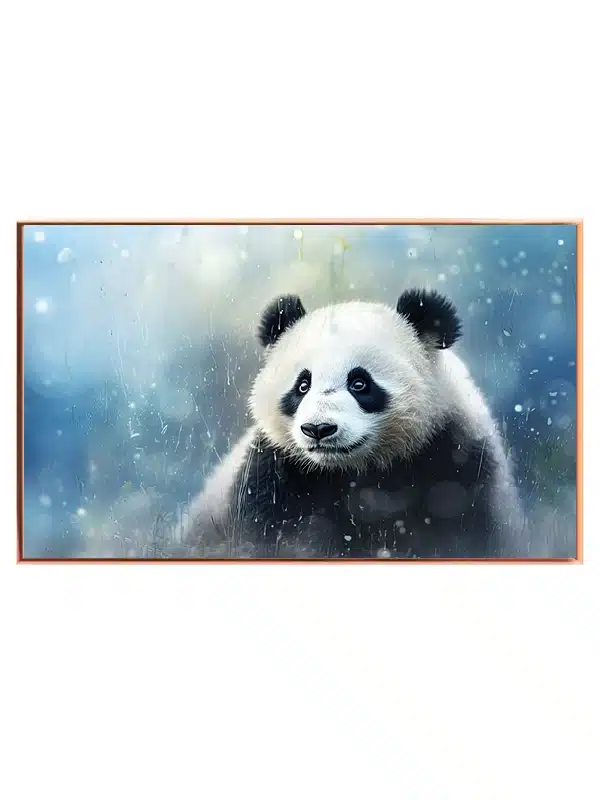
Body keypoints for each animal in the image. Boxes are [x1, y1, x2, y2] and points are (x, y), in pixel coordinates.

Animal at [184, 289, 526, 558]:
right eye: (302, 385)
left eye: (359, 383)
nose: (318, 429)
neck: (357, 469)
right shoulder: (277, 472)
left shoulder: (455, 458)